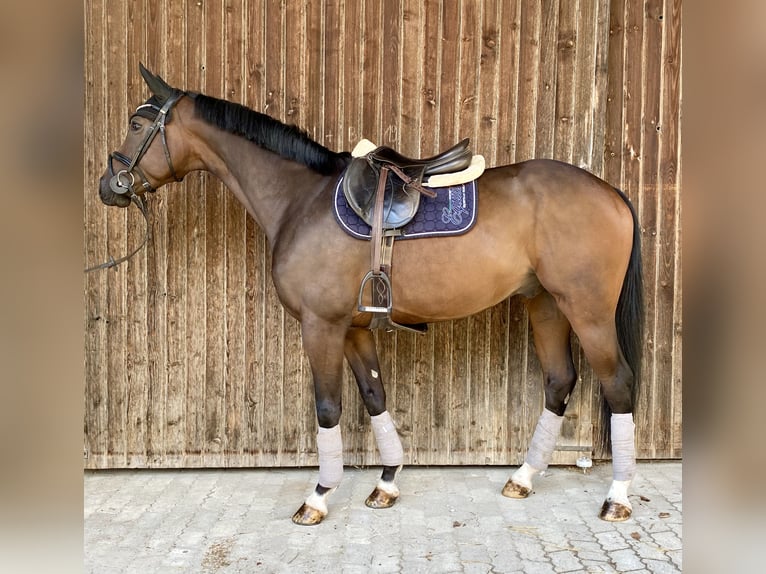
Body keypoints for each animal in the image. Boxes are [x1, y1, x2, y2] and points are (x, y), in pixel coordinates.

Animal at [97, 65, 648, 528]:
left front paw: (319, 497)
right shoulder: (355, 329)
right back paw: (523, 478)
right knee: (559, 382)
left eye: (136, 122)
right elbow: (374, 396)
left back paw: (617, 497)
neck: (301, 200)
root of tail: (610, 192)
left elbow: (328, 407)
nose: (110, 184)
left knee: (618, 384)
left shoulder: (320, 326)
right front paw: (386, 484)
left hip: (587, 311)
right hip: (546, 305)